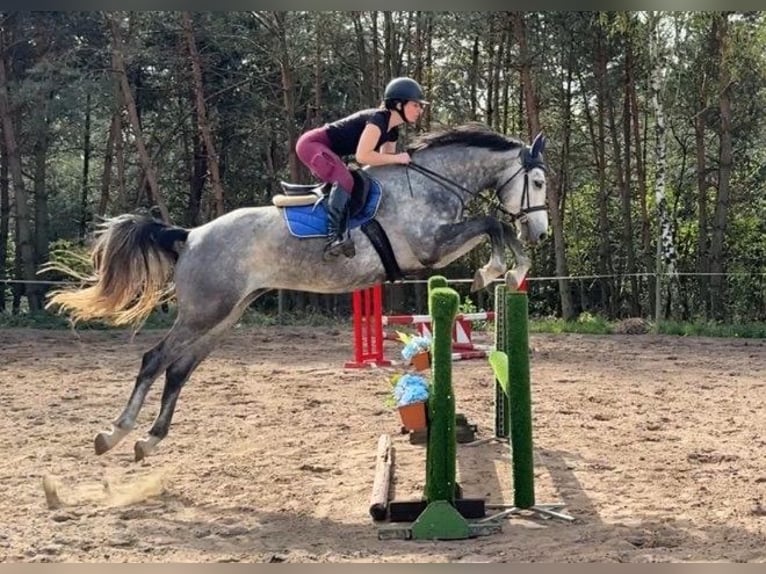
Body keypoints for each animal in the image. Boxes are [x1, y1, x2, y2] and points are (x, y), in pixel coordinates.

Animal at [46, 122, 552, 464]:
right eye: (539, 181)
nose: (542, 233)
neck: (430, 181)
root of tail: (190, 237)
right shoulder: (430, 248)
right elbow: (492, 223)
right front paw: (496, 270)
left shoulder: (435, 250)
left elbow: (495, 226)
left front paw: (510, 270)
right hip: (204, 312)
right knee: (155, 360)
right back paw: (114, 433)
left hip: (225, 315)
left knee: (179, 370)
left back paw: (148, 440)